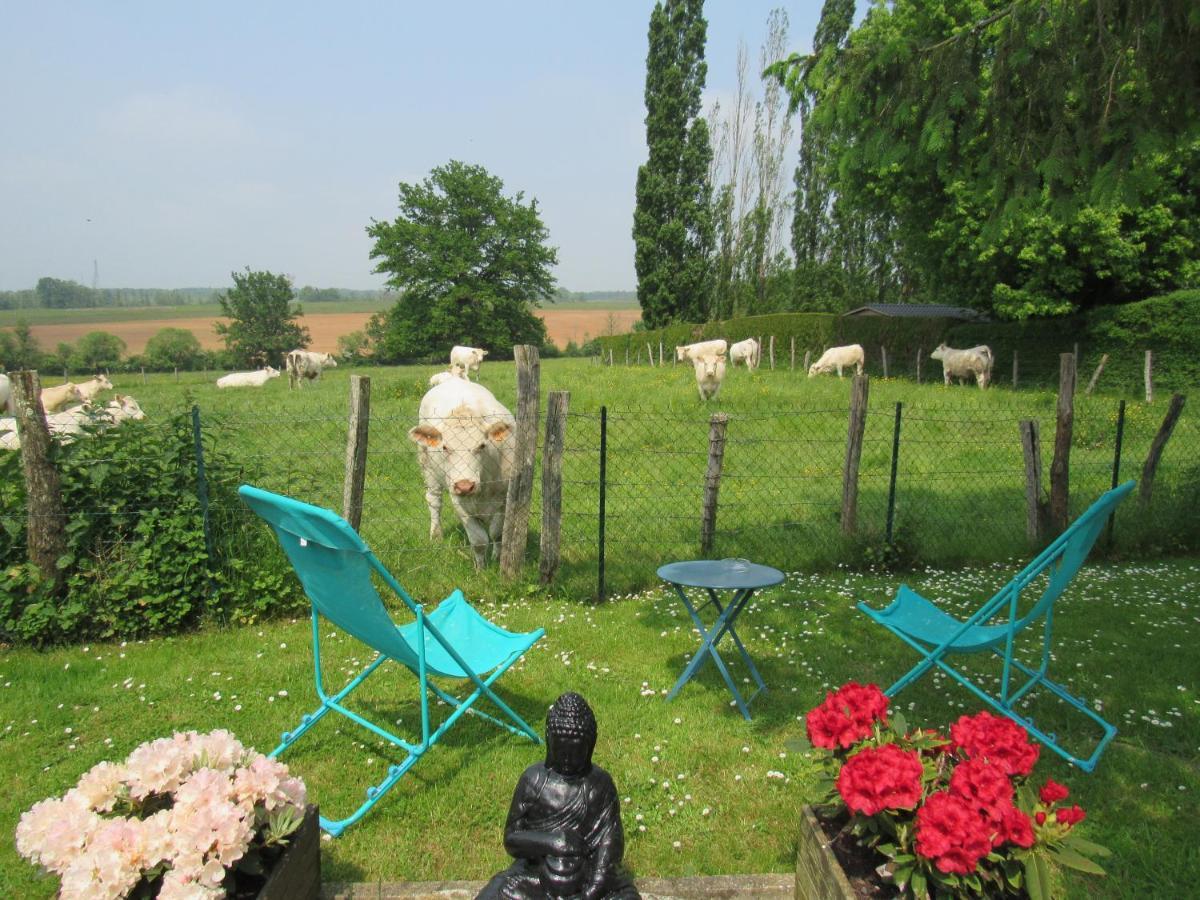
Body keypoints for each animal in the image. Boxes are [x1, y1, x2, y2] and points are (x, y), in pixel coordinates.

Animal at [408, 381, 516, 571]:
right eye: (444, 447)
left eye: (482, 445)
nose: (465, 485)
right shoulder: (459, 502)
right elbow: (479, 540)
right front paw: (480, 569)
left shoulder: (504, 498)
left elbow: (497, 533)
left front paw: (497, 557)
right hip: (428, 467)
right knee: (434, 500)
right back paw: (436, 535)